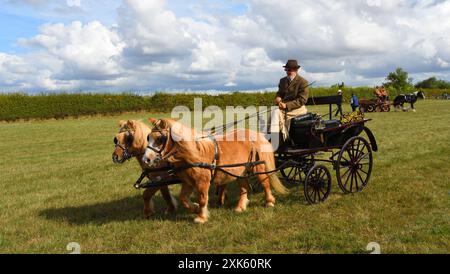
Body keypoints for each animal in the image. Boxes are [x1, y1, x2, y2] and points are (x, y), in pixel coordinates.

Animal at [142, 119, 288, 224]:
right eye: (148, 137)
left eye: (160, 139)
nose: (146, 159)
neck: (194, 154)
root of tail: (255, 134)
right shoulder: (188, 182)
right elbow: (183, 198)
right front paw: (195, 208)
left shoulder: (202, 181)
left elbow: (202, 198)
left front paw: (201, 217)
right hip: (240, 171)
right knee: (244, 187)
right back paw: (240, 207)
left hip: (257, 167)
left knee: (265, 183)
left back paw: (269, 202)